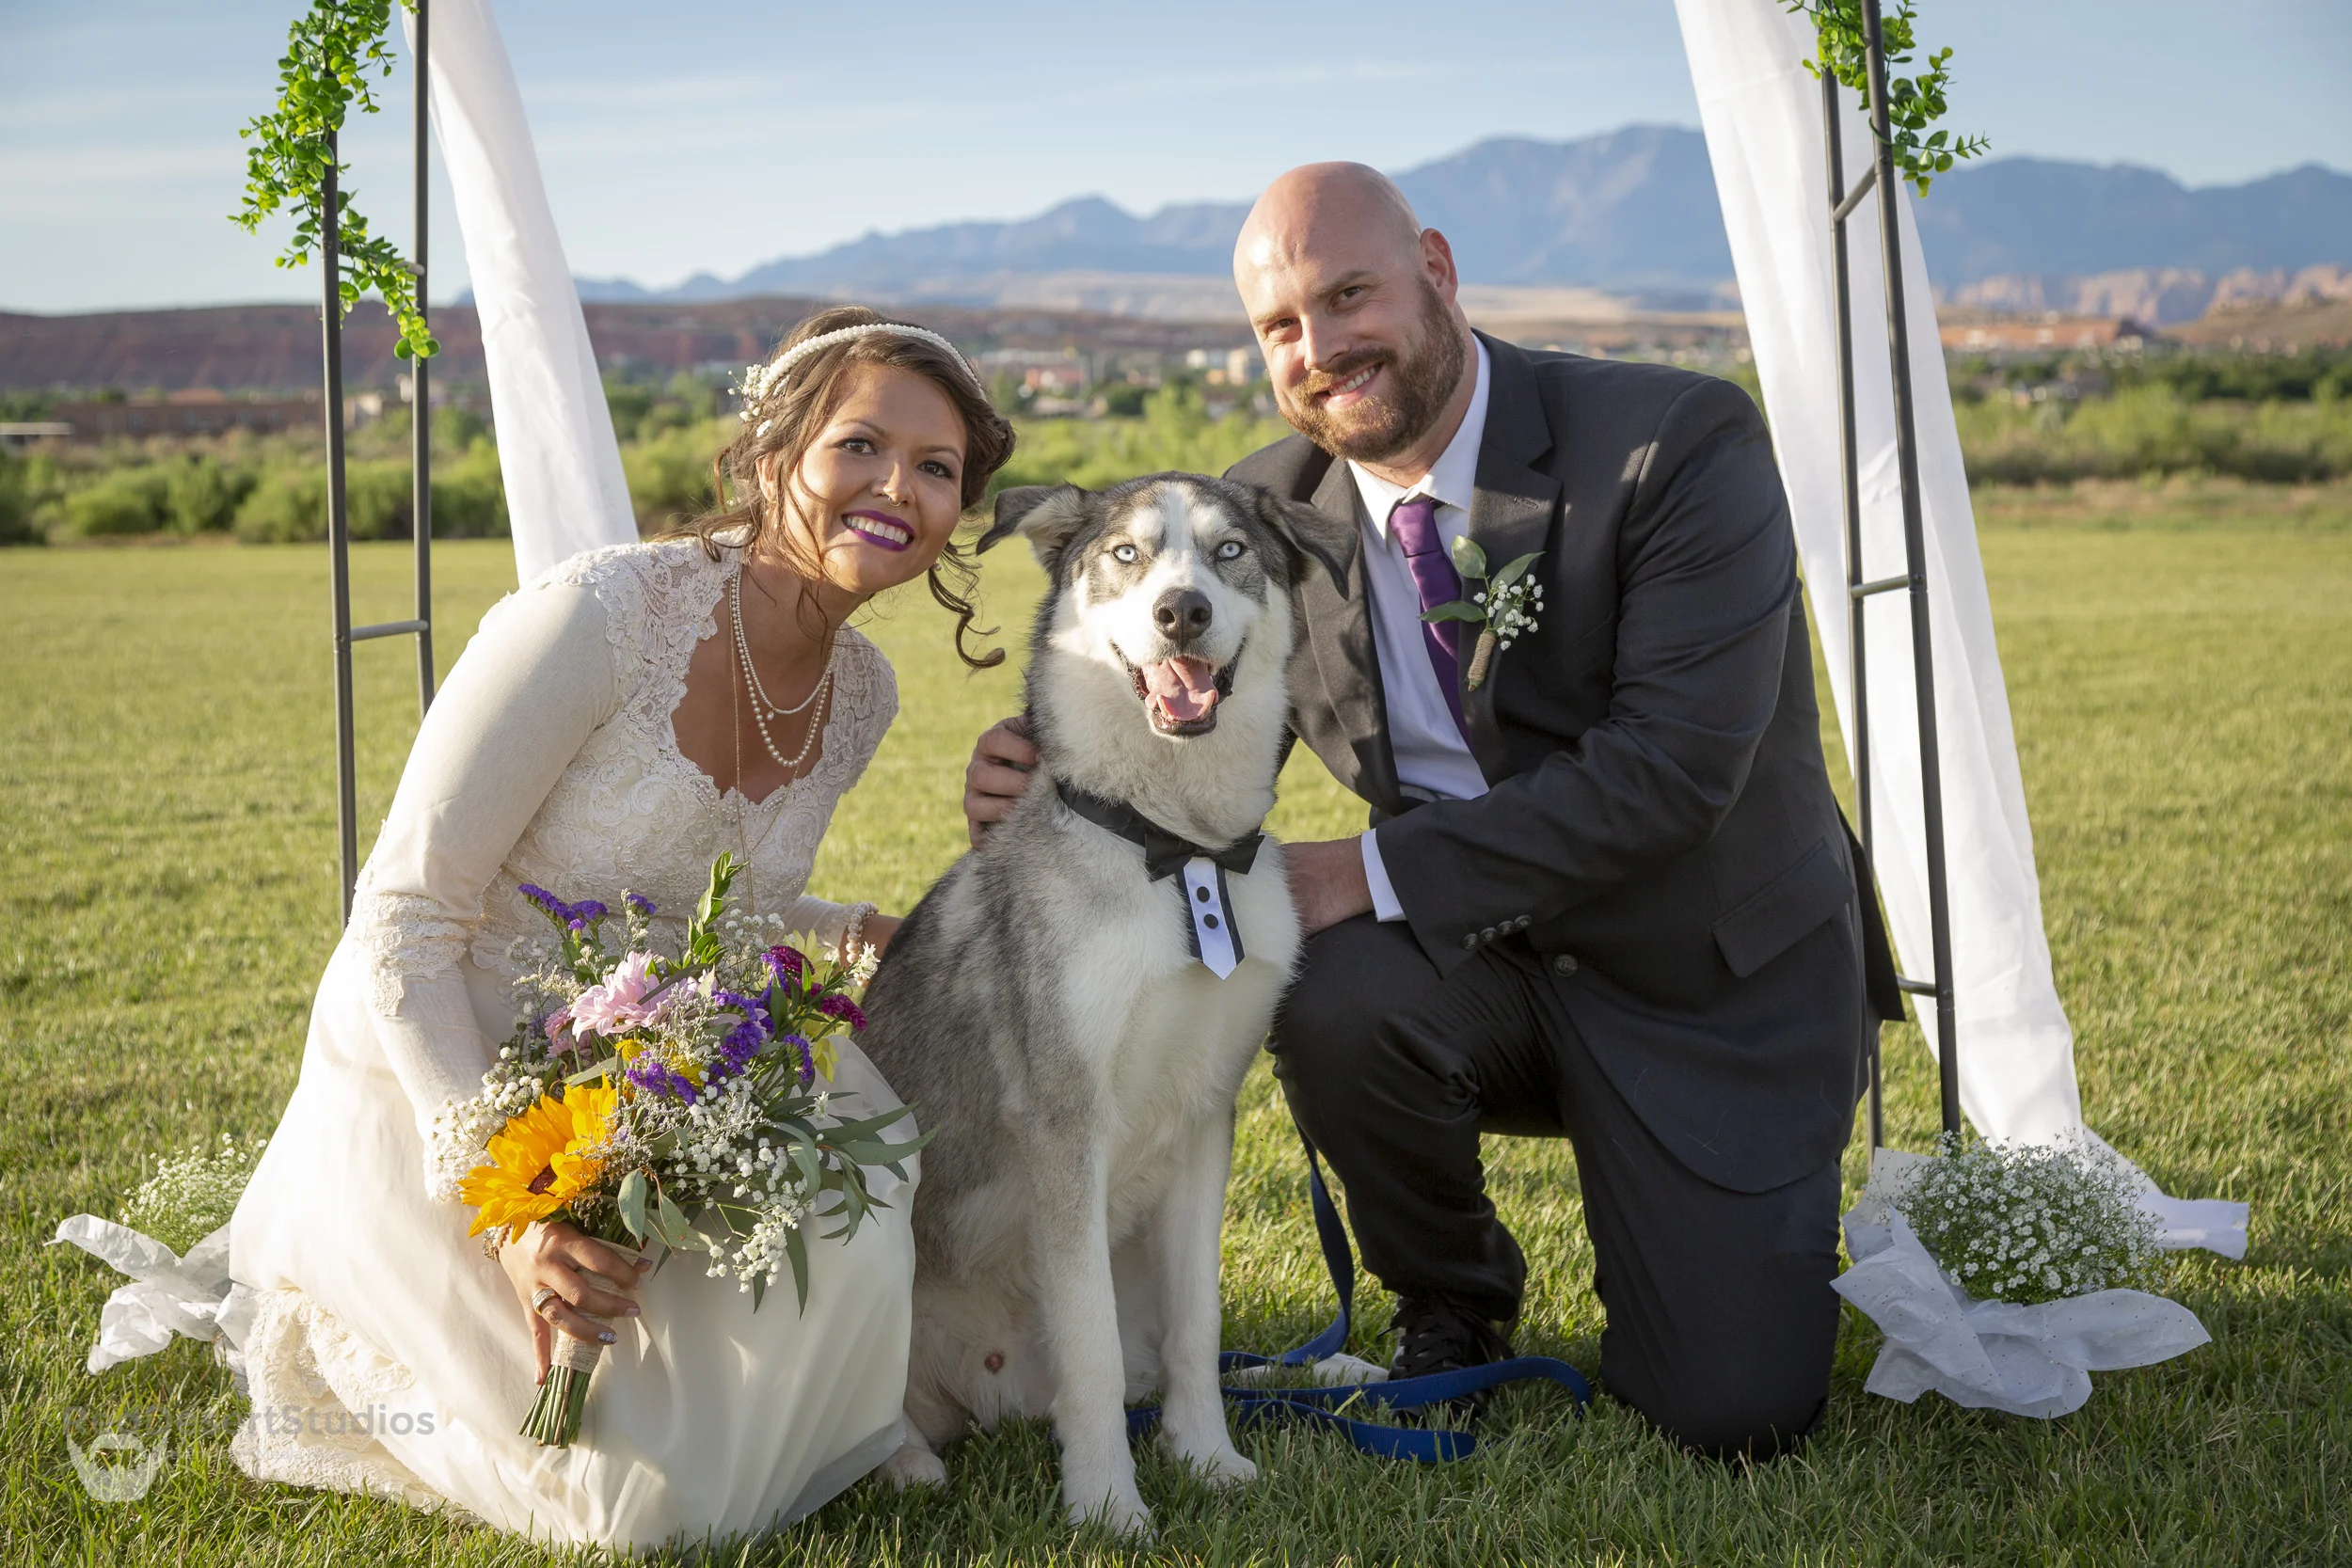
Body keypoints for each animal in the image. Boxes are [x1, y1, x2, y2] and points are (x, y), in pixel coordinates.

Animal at [858, 472, 1350, 1536]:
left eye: (1229, 552)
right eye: (1126, 555)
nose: (1182, 612)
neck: (1177, 850)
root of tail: (988, 1395)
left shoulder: (1207, 1116)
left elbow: (1198, 1327)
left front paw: (1206, 1457)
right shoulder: (1064, 1127)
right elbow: (1085, 1346)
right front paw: (1107, 1506)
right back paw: (908, 1462)